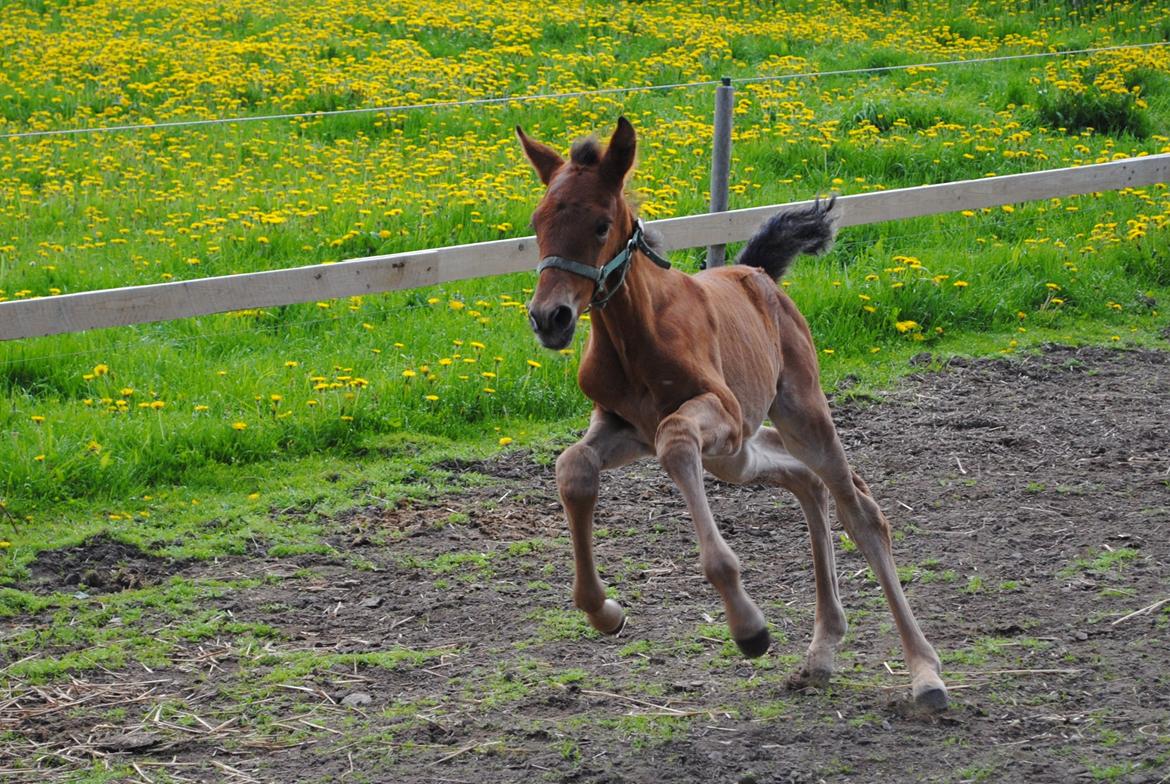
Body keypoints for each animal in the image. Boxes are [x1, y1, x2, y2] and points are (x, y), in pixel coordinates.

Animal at [517, 117, 945, 711]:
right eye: (537, 222)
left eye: (601, 224)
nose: (549, 318)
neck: (637, 336)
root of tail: (756, 272)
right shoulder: (622, 426)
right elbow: (573, 467)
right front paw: (604, 611)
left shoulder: (711, 414)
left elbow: (676, 441)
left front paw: (749, 628)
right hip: (737, 453)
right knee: (806, 481)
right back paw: (821, 654)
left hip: (795, 414)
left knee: (860, 510)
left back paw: (925, 673)